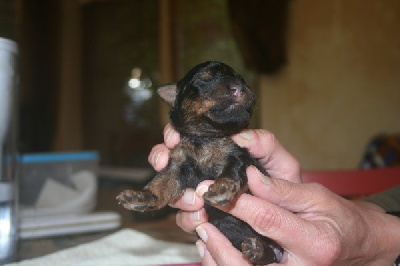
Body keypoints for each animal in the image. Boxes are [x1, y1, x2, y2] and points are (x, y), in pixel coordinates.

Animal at [117, 61, 282, 264]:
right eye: (204, 79)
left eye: (242, 80)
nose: (239, 88)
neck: (205, 138)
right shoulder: (176, 167)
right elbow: (160, 185)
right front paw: (141, 198)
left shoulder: (238, 156)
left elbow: (231, 171)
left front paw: (222, 188)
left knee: (272, 256)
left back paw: (257, 250)